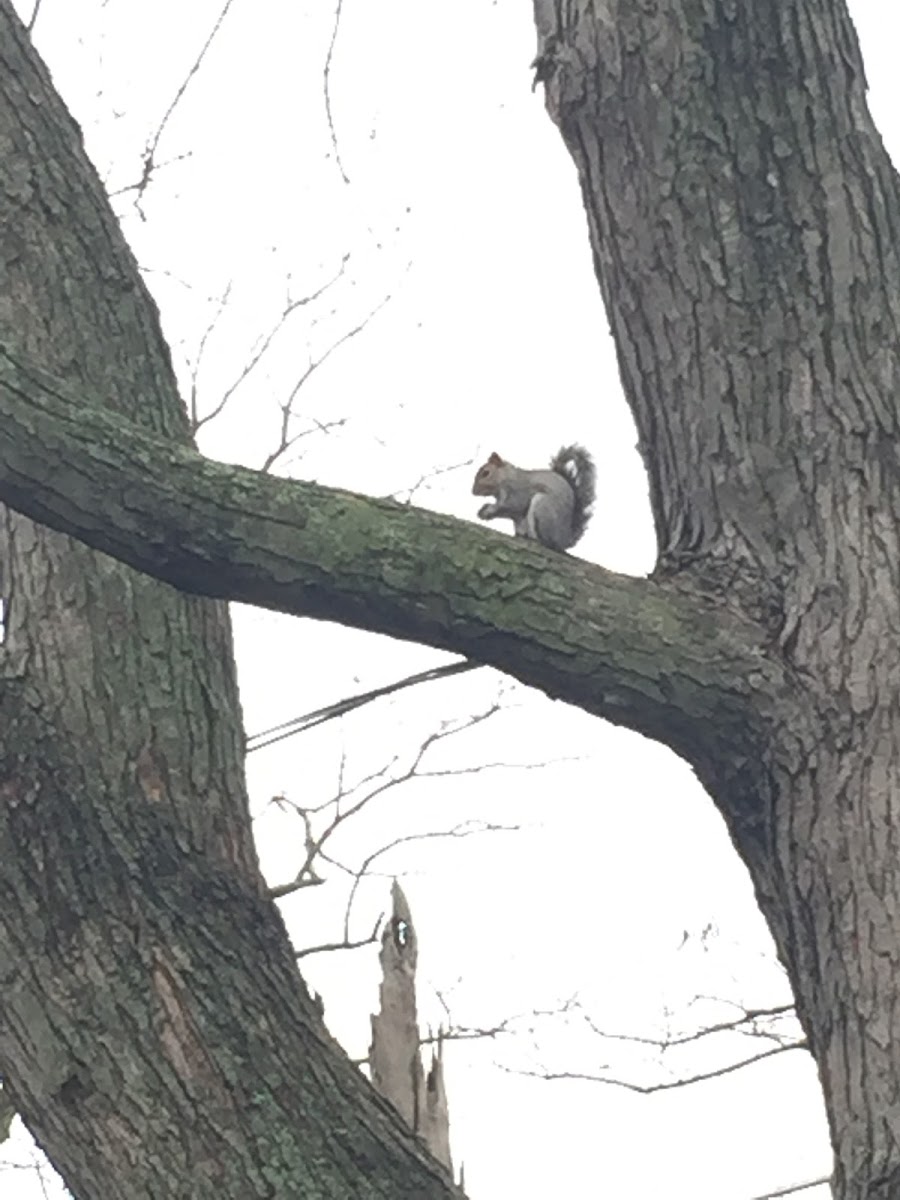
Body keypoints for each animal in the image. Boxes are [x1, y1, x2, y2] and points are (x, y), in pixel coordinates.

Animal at [472, 444, 600, 549]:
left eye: (486, 473)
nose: (473, 491)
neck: (506, 477)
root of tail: (564, 539)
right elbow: (508, 512)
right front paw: (484, 510)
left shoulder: (518, 492)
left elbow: (511, 505)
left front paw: (488, 510)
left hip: (543, 507)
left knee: (547, 542)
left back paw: (535, 540)